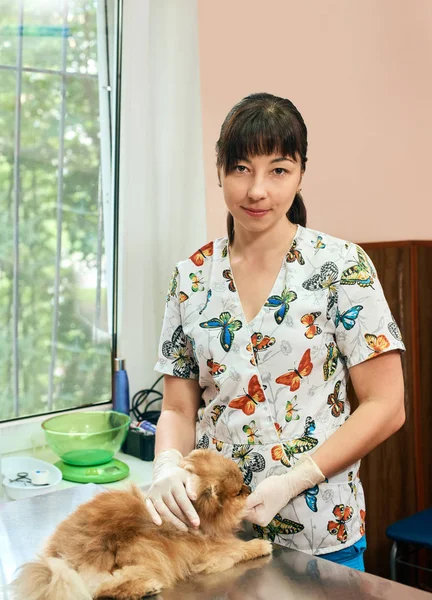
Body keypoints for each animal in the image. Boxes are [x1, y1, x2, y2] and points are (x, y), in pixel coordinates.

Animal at [11, 450, 272, 600]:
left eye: (243, 482)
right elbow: (238, 548)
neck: (200, 516)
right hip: (145, 550)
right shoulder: (210, 551)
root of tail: (59, 556)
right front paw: (260, 545)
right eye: (238, 492)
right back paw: (145, 587)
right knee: (99, 588)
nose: (249, 489)